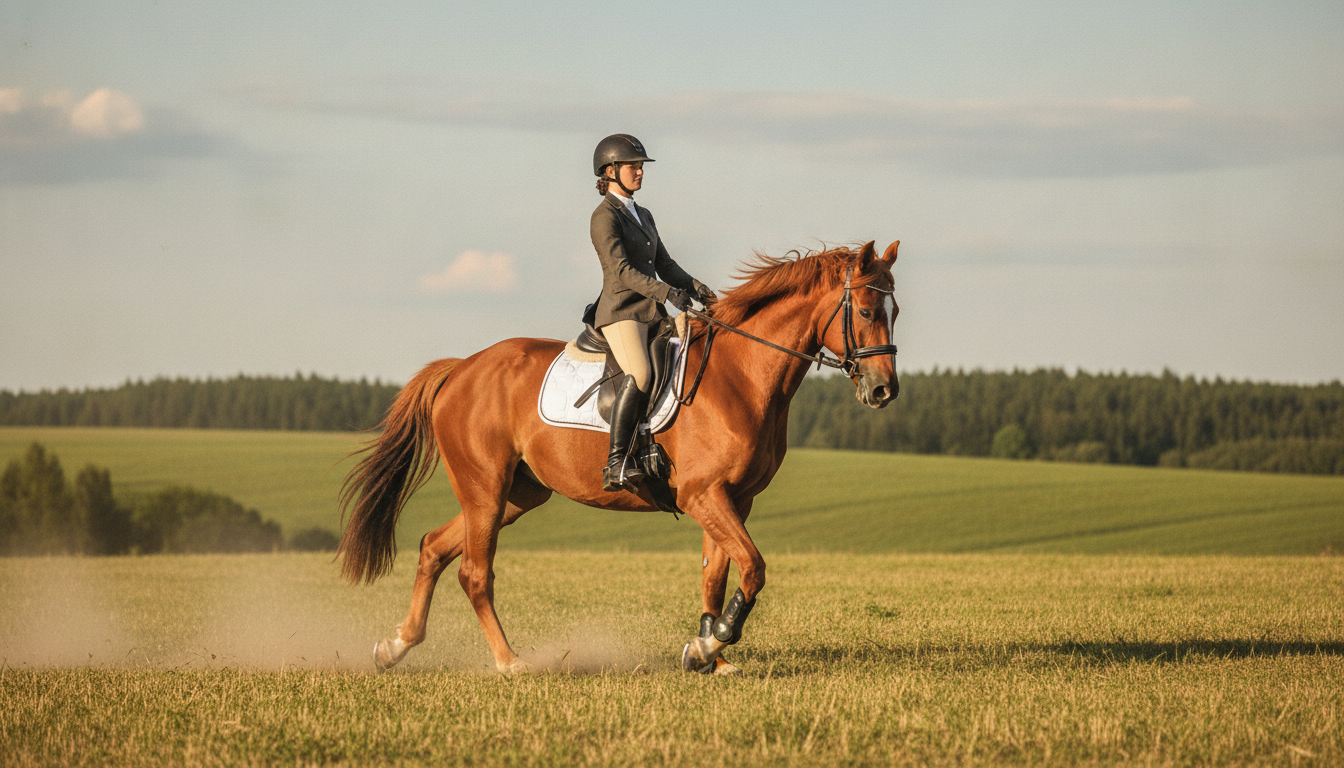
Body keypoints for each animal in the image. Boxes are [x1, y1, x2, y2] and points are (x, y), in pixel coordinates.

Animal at [337, 240, 900, 674]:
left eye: (894, 312)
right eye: (867, 312)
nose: (883, 392)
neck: (740, 376)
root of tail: (460, 368)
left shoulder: (733, 499)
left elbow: (717, 575)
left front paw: (708, 654)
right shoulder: (704, 495)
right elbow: (754, 568)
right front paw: (712, 643)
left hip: (518, 495)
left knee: (434, 547)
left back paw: (395, 646)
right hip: (485, 490)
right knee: (474, 572)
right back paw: (510, 662)